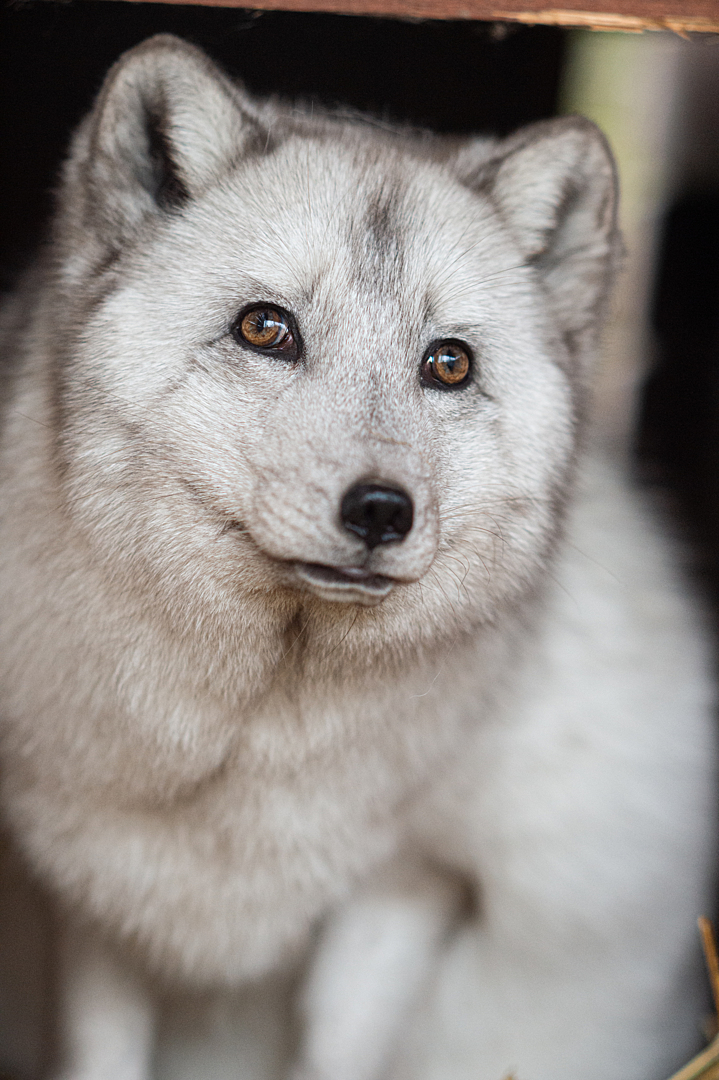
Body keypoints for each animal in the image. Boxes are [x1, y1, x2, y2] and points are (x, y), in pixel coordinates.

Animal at [0, 32, 715, 1080]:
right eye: (265, 327)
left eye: (448, 363)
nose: (381, 511)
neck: (250, 741)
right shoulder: (95, 889)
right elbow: (99, 1055)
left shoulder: (408, 886)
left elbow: (340, 1051)